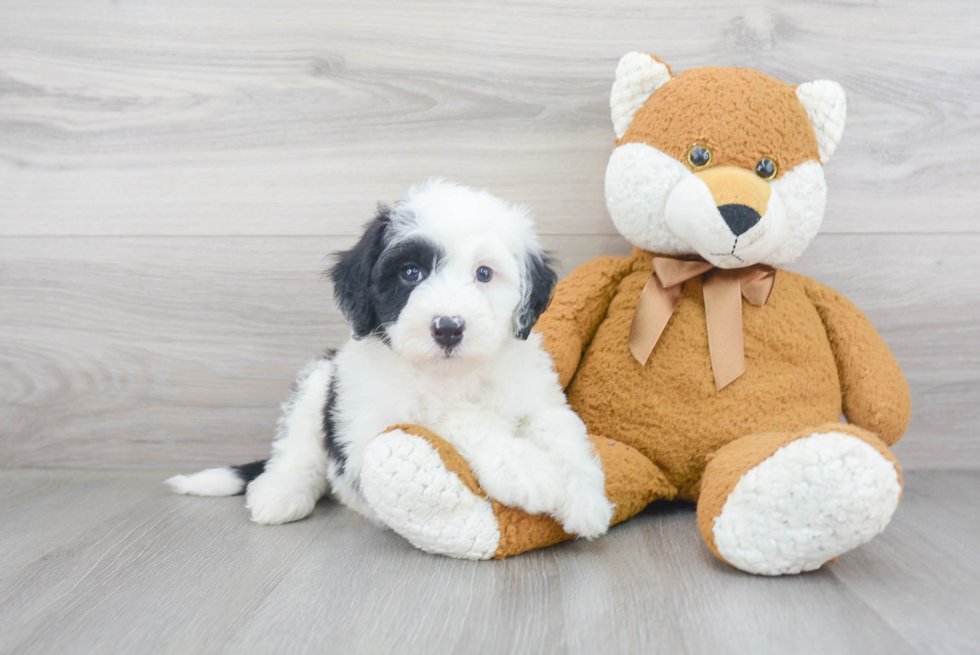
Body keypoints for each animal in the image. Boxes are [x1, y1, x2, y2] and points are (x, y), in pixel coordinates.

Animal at [168, 181, 612, 544]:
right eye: (410, 273)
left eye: (484, 274)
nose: (448, 328)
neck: (451, 374)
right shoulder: (371, 427)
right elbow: (453, 418)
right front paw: (524, 466)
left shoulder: (536, 394)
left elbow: (559, 427)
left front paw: (586, 500)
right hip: (321, 380)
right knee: (298, 450)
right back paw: (281, 493)